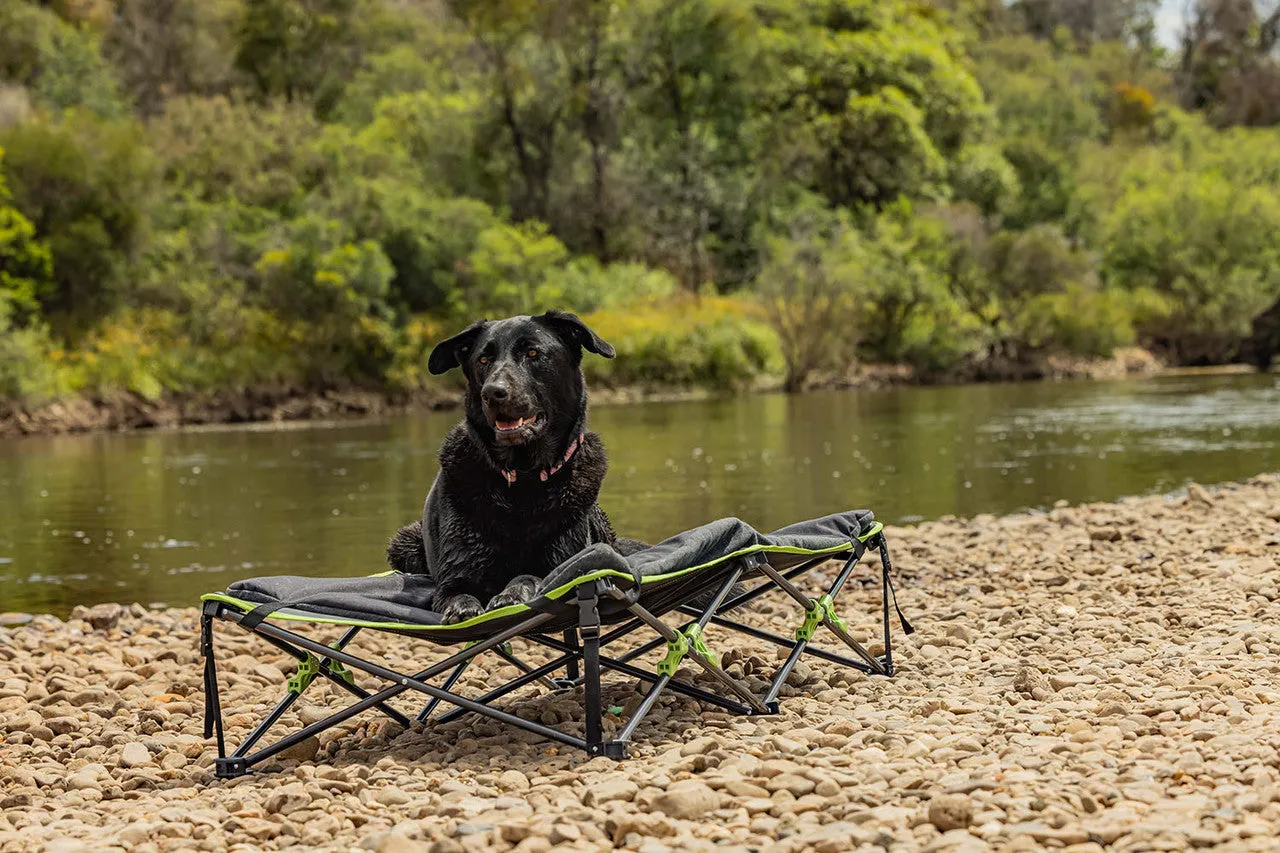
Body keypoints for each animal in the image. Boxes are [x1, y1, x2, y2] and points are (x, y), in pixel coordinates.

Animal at [384, 308, 645, 622]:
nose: (492, 392)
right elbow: (456, 591)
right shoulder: (455, 574)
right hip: (405, 541)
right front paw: (462, 608)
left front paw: (510, 594)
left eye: (532, 353)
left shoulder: (564, 565)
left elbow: (528, 576)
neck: (524, 478)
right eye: (483, 360)